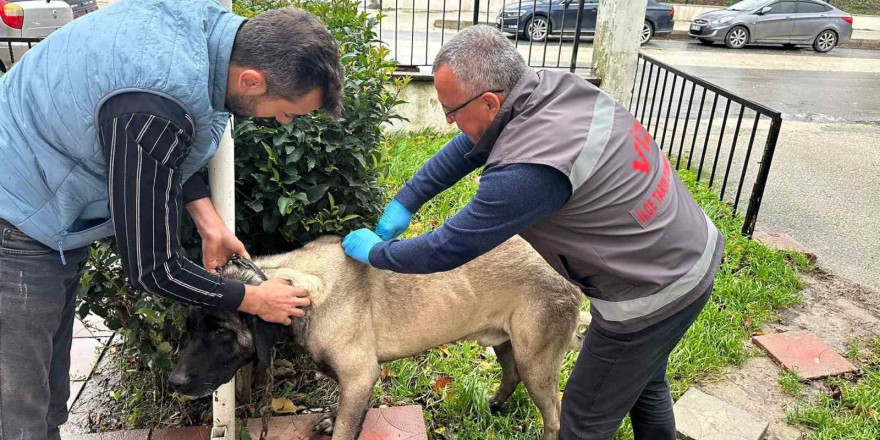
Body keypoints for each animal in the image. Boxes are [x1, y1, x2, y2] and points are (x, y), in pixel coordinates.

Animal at [168, 237, 588, 440]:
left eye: (221, 331)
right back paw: (495, 404)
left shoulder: (359, 374)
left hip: (537, 360)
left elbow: (345, 429)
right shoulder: (354, 378)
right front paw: (330, 418)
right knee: (511, 374)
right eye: (189, 329)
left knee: (554, 413)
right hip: (508, 343)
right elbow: (344, 412)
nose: (174, 382)